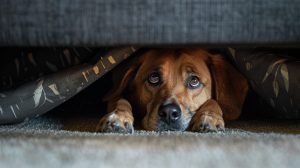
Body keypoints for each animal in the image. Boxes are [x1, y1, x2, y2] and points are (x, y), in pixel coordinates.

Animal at [96, 48, 248, 133]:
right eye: (154, 78)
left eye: (194, 81)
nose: (169, 113)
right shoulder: (117, 95)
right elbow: (120, 100)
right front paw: (118, 117)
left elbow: (213, 102)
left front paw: (209, 117)